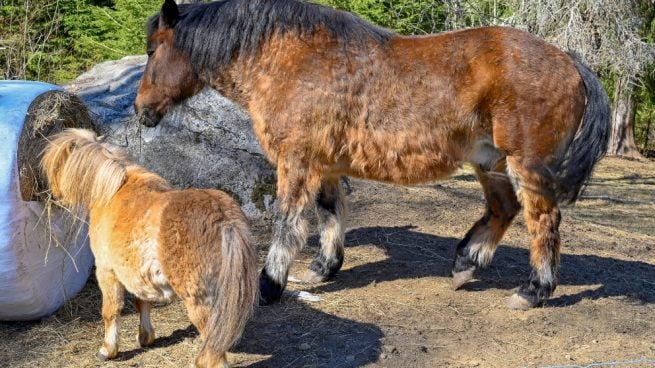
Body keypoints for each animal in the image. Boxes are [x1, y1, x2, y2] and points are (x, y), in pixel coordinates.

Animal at [41, 128, 258, 366]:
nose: (53, 195)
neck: (112, 191)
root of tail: (223, 219)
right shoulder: (139, 275)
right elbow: (142, 303)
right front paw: (145, 337)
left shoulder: (107, 272)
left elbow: (111, 310)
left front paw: (108, 350)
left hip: (200, 302)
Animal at [136, 0, 612, 310]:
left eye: (152, 50)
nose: (141, 109)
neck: (292, 59)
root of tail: (569, 61)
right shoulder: (324, 166)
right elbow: (329, 214)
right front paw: (323, 268)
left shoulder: (296, 163)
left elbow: (288, 223)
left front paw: (270, 285)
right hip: (489, 162)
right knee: (503, 208)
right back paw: (465, 262)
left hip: (525, 165)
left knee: (543, 221)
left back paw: (534, 290)